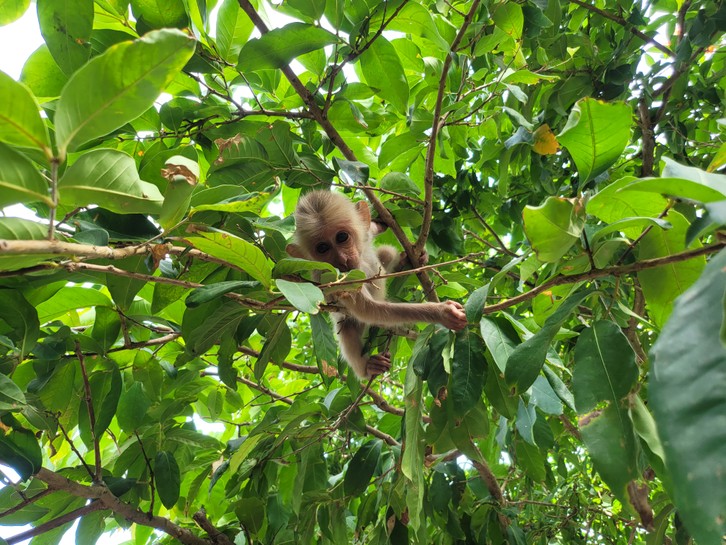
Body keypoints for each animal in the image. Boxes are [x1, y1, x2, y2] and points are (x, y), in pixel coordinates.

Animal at [285, 190, 468, 380]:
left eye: (342, 237)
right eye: (322, 248)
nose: (342, 260)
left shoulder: (364, 237)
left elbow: (370, 228)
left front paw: (381, 221)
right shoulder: (336, 280)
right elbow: (370, 310)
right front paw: (442, 312)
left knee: (386, 253)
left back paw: (405, 261)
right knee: (348, 328)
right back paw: (369, 367)